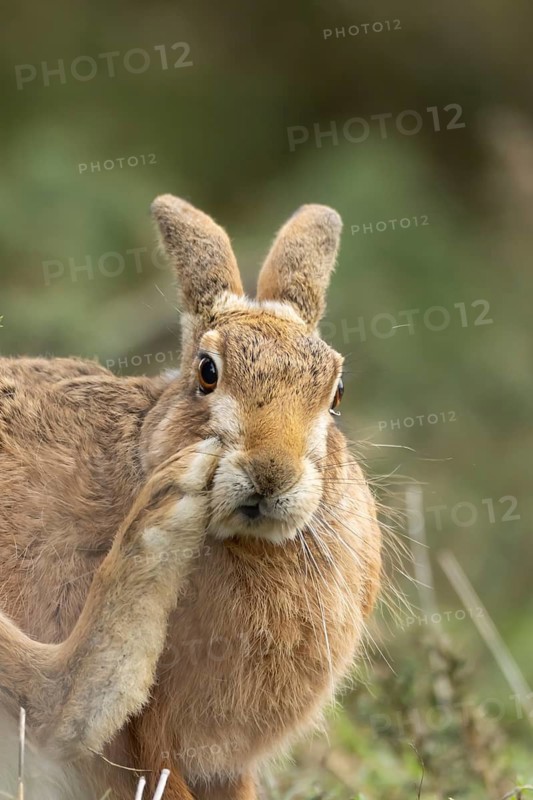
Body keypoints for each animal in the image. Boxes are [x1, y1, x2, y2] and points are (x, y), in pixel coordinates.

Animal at [0, 195, 382, 800]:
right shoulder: (150, 746)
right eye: (207, 373)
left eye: (337, 393)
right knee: (47, 705)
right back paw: (161, 522)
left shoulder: (224, 768)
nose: (272, 472)